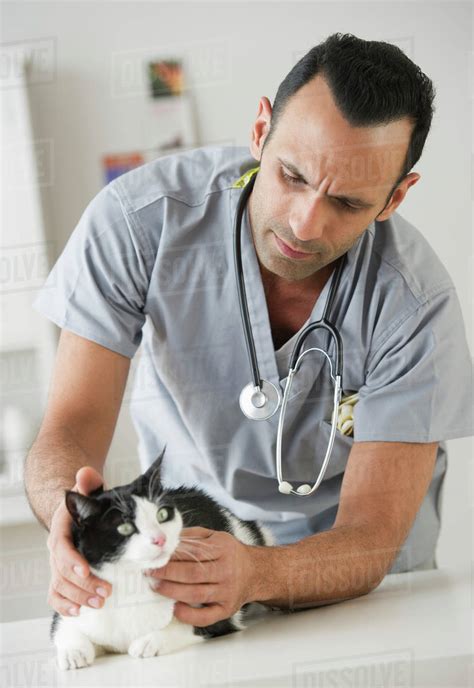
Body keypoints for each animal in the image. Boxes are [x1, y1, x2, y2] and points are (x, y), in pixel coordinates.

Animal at [51, 446, 274, 672]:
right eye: (125, 527)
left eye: (162, 515)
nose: (160, 539)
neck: (131, 583)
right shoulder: (78, 602)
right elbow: (64, 627)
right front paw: (73, 651)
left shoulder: (219, 616)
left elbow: (194, 625)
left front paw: (149, 641)